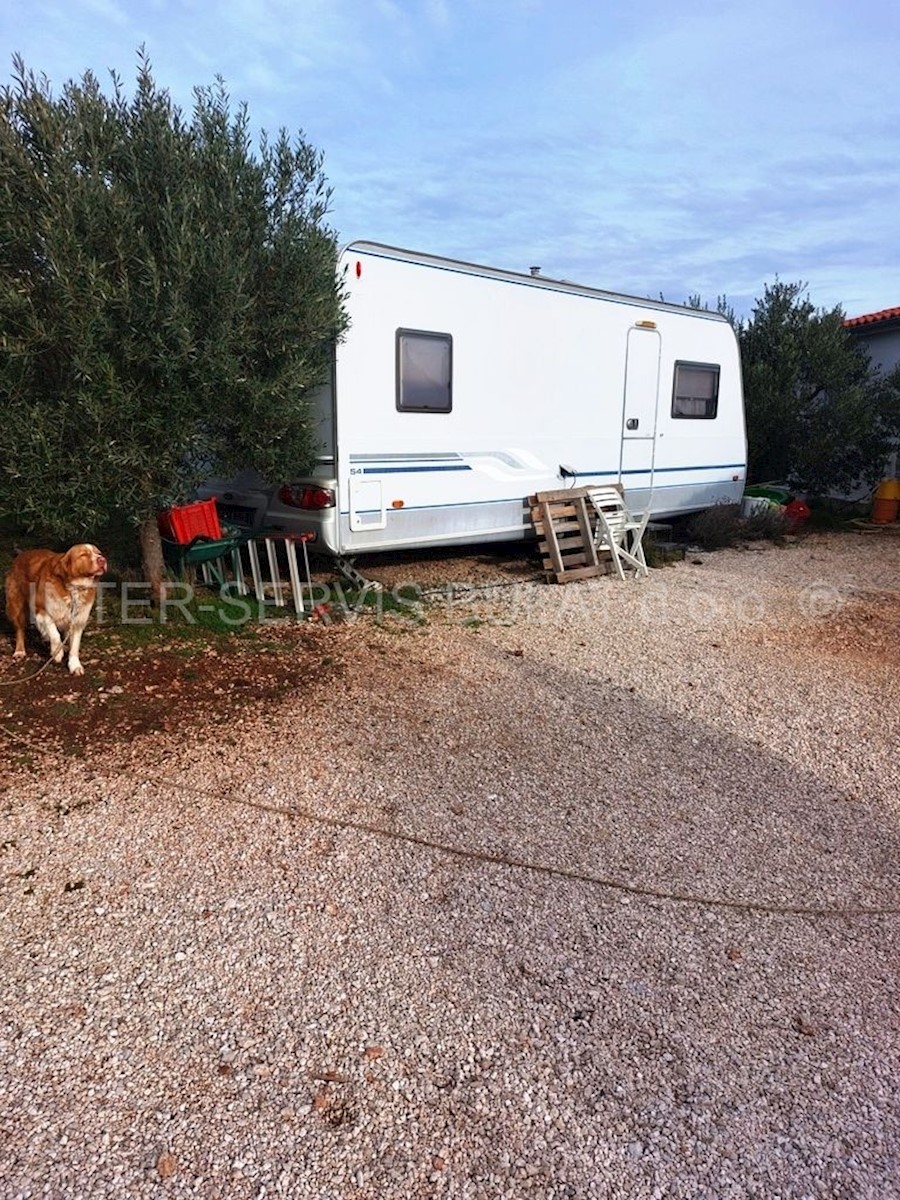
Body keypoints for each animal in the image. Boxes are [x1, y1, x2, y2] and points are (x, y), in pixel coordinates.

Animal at [5, 544, 107, 676]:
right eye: (83, 555)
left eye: (98, 553)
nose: (102, 560)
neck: (73, 589)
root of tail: (21, 555)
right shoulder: (42, 610)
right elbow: (54, 633)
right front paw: (57, 653)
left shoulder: (78, 620)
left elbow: (74, 647)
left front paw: (74, 665)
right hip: (17, 605)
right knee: (20, 629)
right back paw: (20, 651)